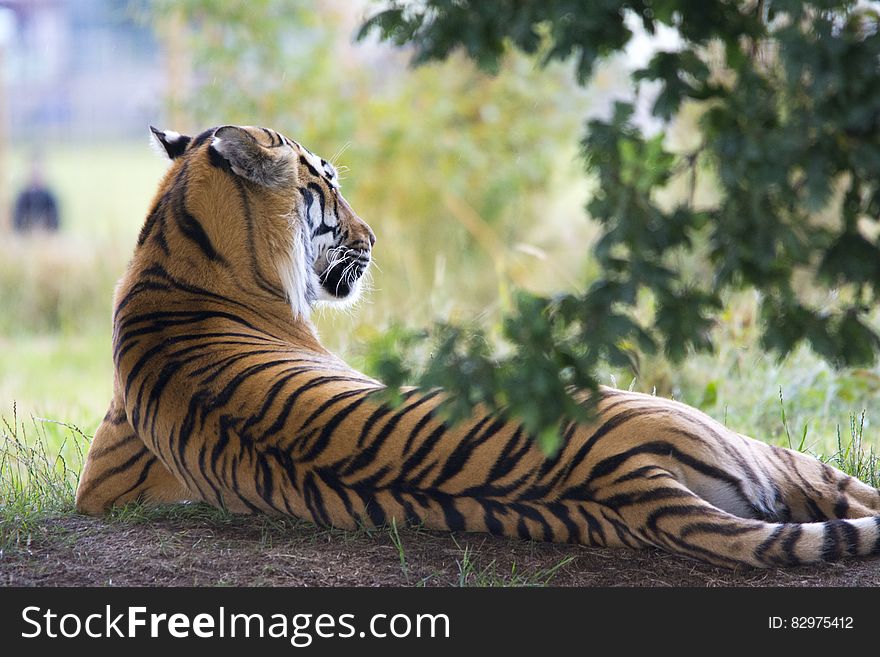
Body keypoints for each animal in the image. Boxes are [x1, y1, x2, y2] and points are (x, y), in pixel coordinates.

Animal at [75, 124, 880, 568]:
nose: (374, 237)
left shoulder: (101, 483)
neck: (174, 245)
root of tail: (629, 482)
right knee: (847, 489)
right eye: (327, 186)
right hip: (741, 440)